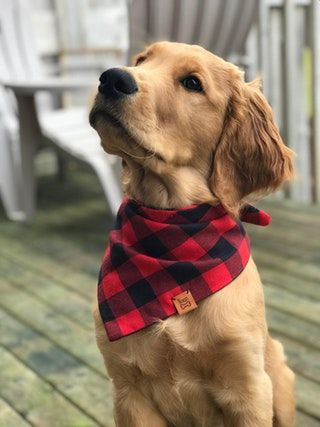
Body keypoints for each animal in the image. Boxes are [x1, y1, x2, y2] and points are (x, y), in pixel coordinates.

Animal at [89, 41, 296, 427]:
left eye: (192, 83)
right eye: (142, 60)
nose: (111, 79)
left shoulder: (249, 388)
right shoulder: (128, 389)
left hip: (279, 374)